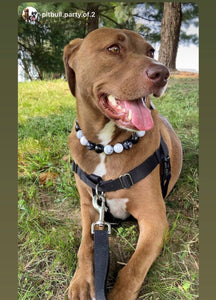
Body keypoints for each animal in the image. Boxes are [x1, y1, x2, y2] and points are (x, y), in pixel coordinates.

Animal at [63, 27, 181, 298]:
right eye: (114, 49)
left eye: (151, 51)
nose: (163, 73)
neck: (106, 148)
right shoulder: (89, 209)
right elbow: (85, 246)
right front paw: (81, 280)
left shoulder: (154, 219)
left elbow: (134, 268)